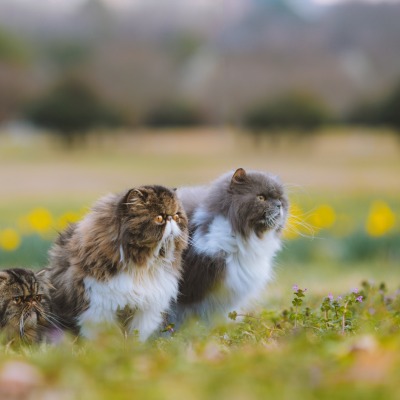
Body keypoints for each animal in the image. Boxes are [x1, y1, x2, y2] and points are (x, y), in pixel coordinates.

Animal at [47, 184, 188, 340]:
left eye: (177, 217)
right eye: (159, 218)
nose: (171, 220)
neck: (141, 267)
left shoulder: (146, 311)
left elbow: (137, 336)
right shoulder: (99, 307)